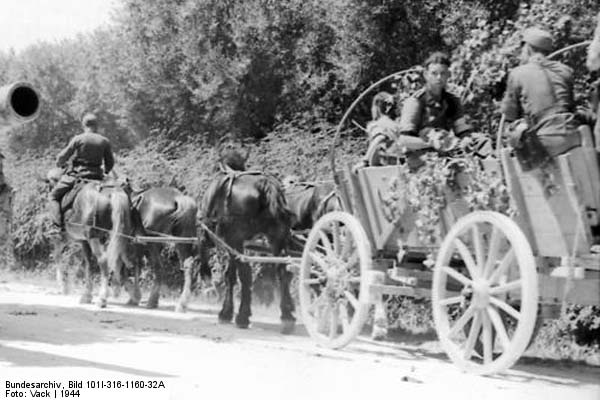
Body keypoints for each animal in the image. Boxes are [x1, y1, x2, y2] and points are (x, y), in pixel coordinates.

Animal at [48, 167, 137, 308]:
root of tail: (112, 192)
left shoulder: (70, 238)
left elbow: (61, 256)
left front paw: (66, 287)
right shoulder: (83, 240)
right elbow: (88, 263)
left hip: (93, 238)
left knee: (104, 260)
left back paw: (103, 298)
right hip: (118, 235)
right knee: (122, 259)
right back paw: (129, 293)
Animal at [199, 152, 296, 332]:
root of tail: (265, 185)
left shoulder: (229, 241)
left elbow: (230, 275)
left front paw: (226, 313)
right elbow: (231, 274)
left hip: (237, 240)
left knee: (246, 274)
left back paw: (242, 316)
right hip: (277, 239)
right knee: (282, 271)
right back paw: (287, 317)